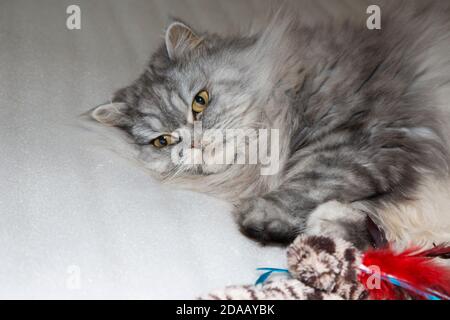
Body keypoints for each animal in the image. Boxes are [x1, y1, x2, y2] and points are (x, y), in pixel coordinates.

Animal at [89, 2, 450, 250]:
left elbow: (314, 180)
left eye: (199, 101)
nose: (193, 144)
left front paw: (261, 216)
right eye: (162, 142)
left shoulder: (361, 137)